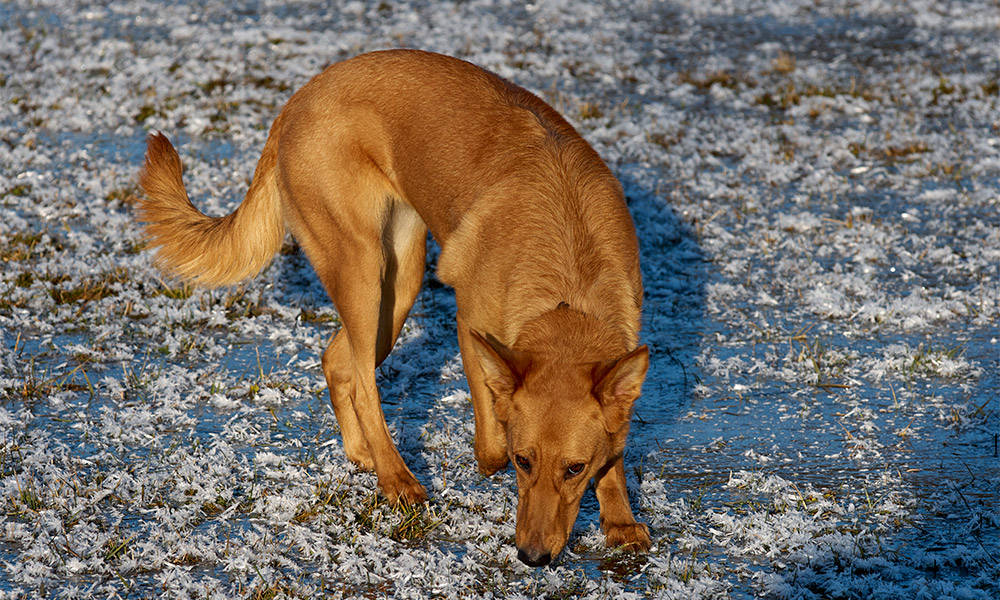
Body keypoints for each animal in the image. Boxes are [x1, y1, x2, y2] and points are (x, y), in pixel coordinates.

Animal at [141, 49, 652, 564]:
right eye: (523, 461)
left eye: (575, 468)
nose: (532, 556)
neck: (569, 287)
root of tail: (297, 100)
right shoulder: (471, 326)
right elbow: (491, 439)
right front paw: (490, 461)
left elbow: (615, 450)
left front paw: (621, 522)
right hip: (363, 270)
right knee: (365, 382)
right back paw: (397, 478)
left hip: (398, 287)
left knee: (339, 361)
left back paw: (362, 454)